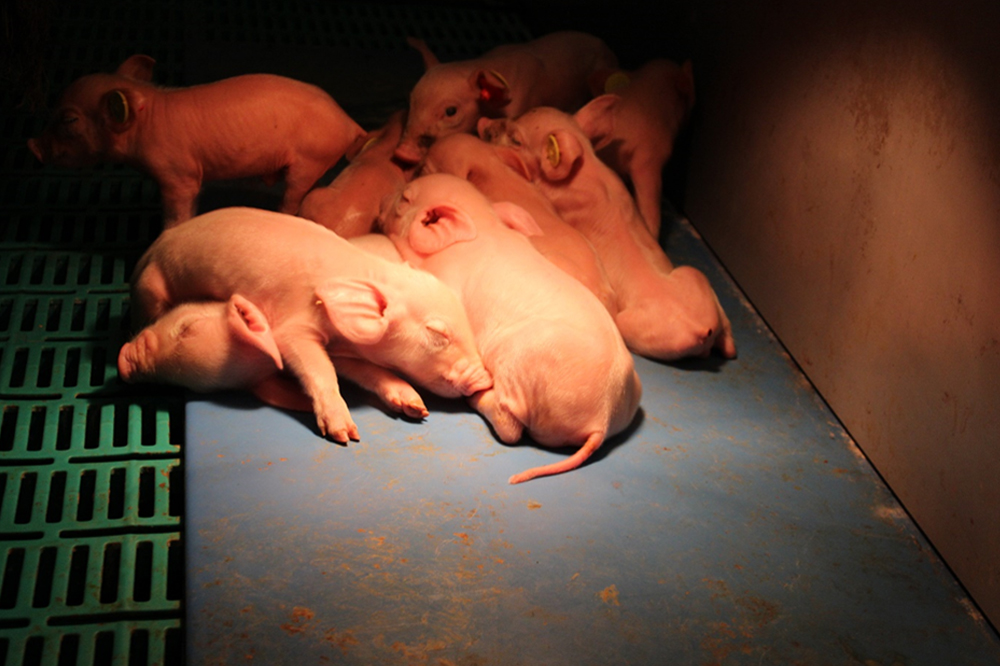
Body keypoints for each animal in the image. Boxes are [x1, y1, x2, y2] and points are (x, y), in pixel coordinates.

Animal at [28, 54, 366, 228]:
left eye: (69, 121)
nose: (32, 146)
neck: (148, 122)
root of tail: (349, 122)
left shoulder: (178, 174)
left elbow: (178, 210)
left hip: (308, 162)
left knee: (293, 196)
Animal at [122, 206, 492, 442]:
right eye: (437, 333)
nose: (485, 380)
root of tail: (147, 251)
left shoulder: (345, 350)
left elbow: (366, 372)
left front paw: (416, 408)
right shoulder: (293, 325)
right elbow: (317, 368)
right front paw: (346, 435)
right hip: (152, 288)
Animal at [380, 173, 642, 484]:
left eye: (405, 198)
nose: (381, 203)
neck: (483, 224)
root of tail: (601, 419)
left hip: (518, 365)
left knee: (510, 428)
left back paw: (476, 398)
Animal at [478, 101, 737, 361]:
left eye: (516, 139)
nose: (482, 121)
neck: (585, 169)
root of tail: (701, 327)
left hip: (632, 327)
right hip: (694, 275)